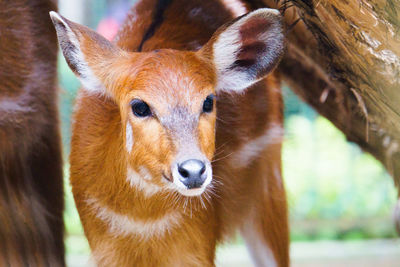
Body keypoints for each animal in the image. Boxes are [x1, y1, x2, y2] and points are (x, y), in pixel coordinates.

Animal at [50, 0, 288, 266]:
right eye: (140, 106)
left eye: (208, 101)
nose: (193, 171)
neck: (143, 222)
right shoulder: (105, 250)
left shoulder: (197, 248)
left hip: (270, 179)